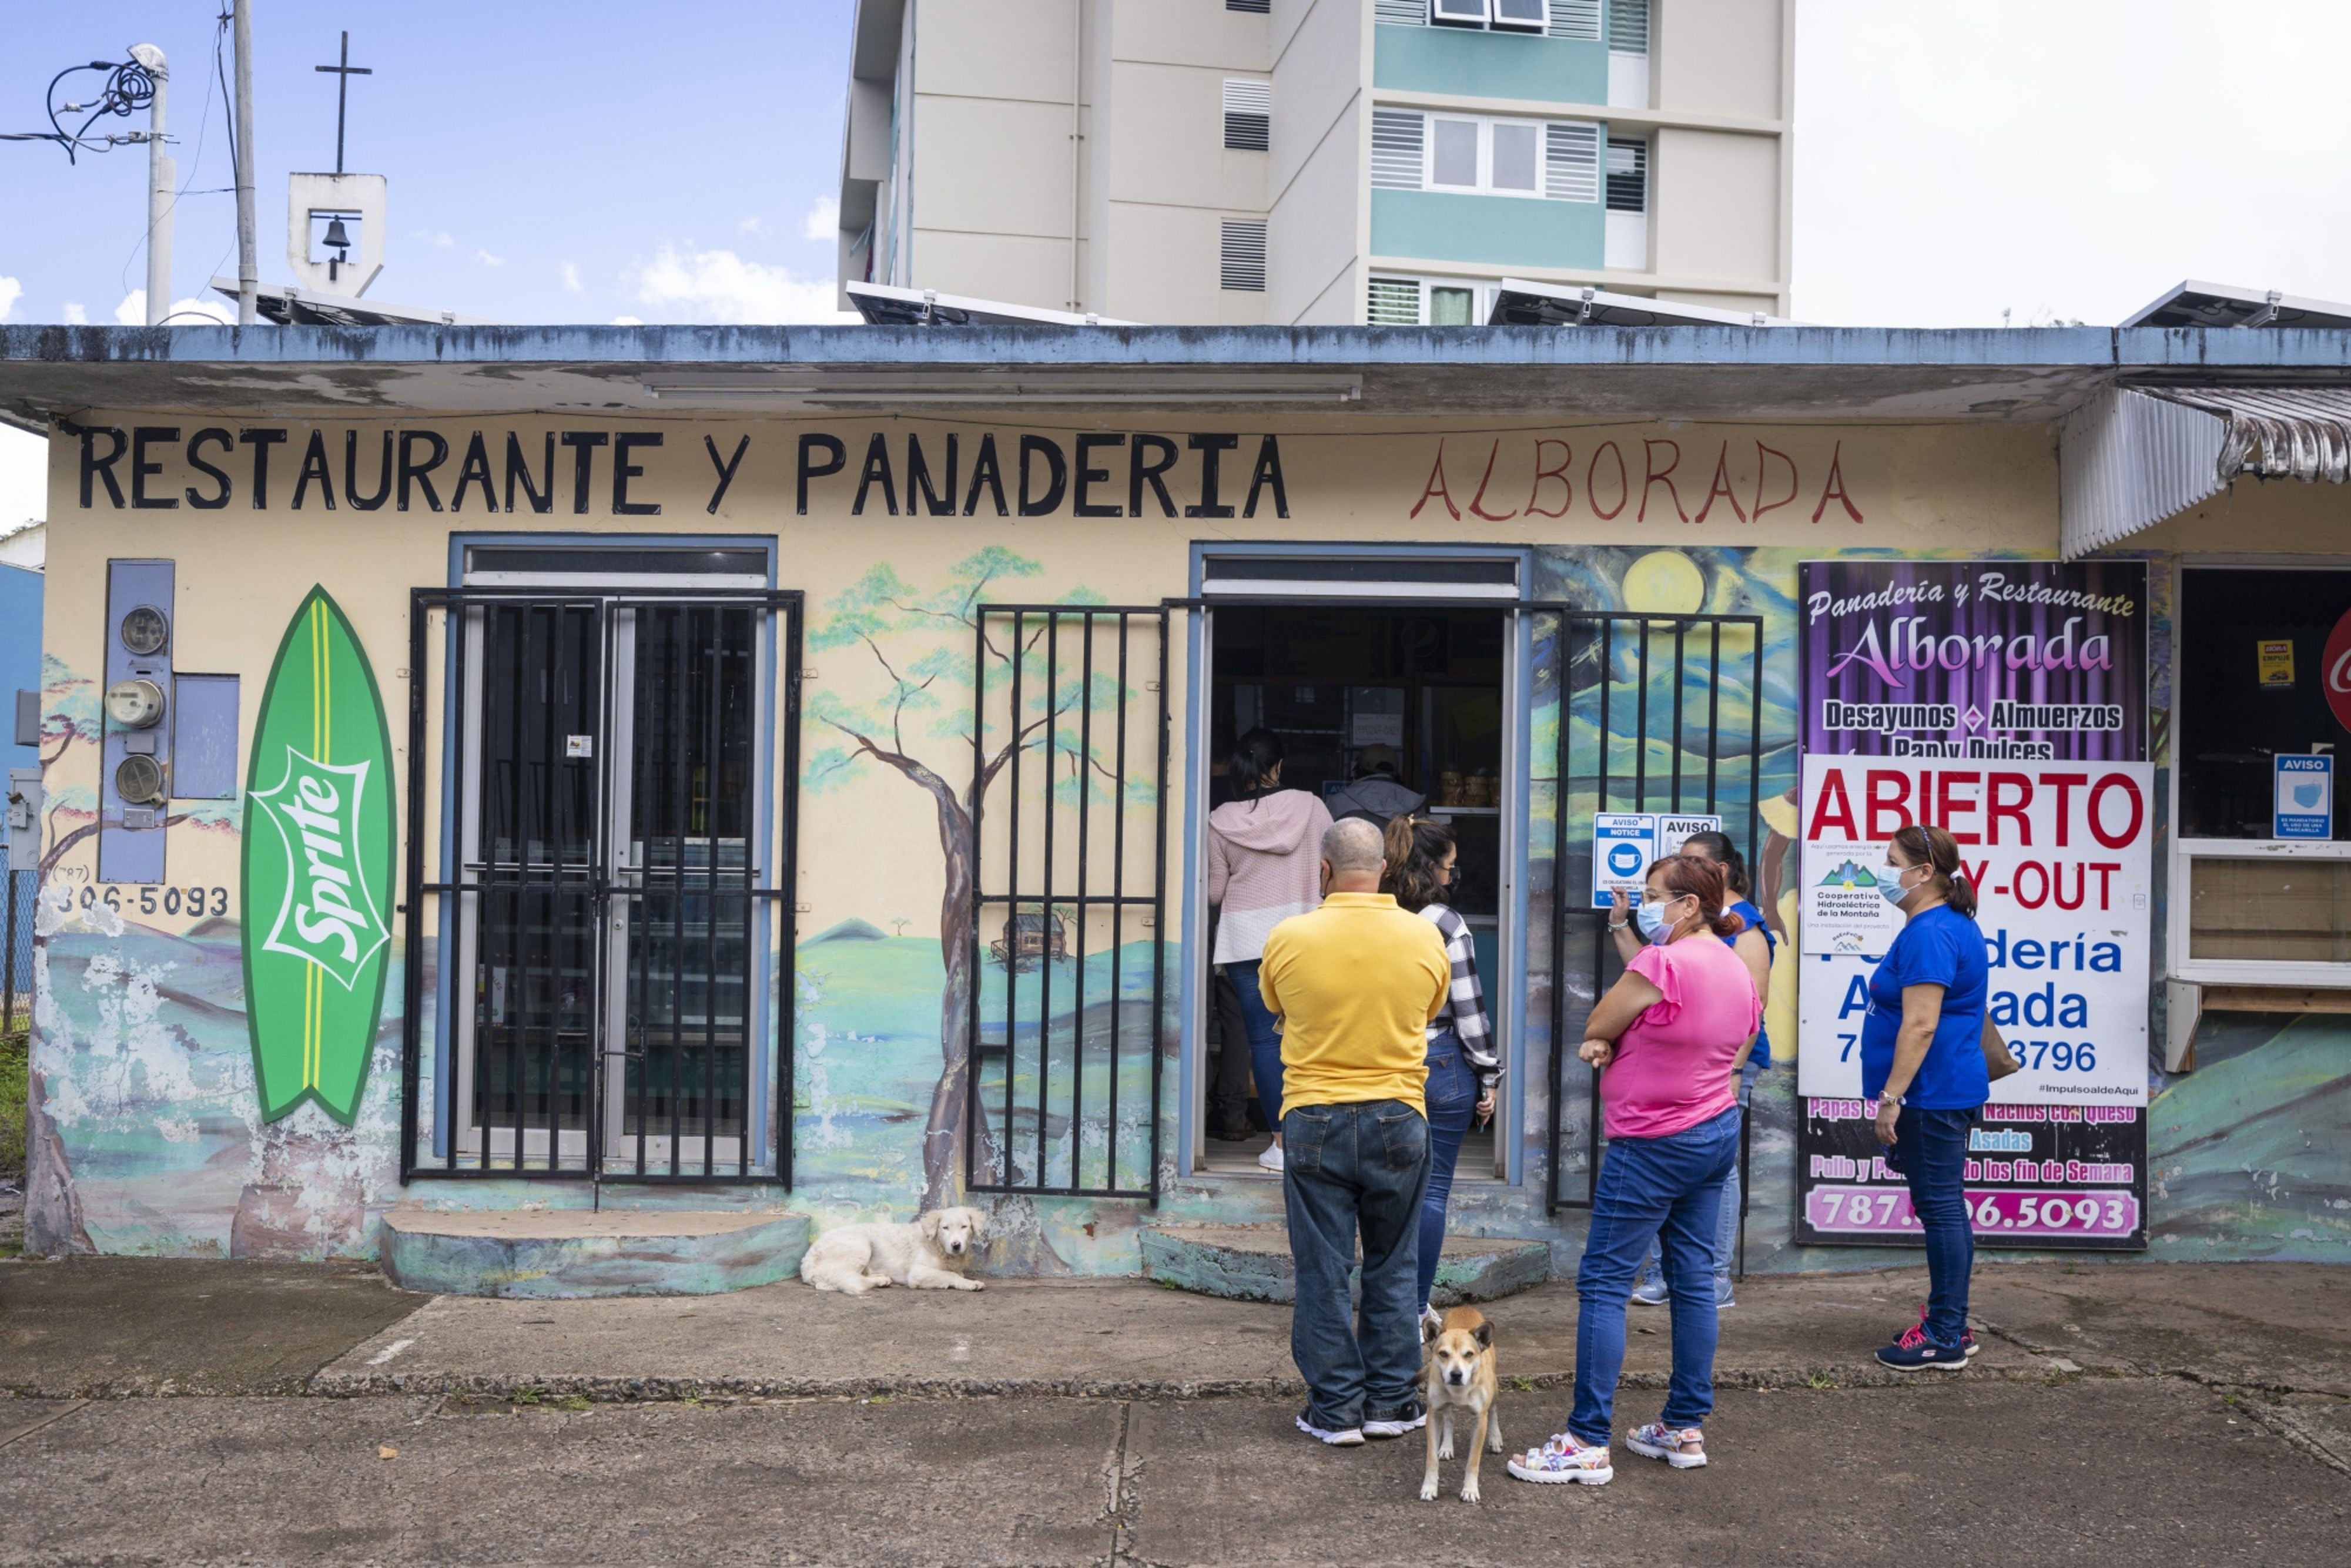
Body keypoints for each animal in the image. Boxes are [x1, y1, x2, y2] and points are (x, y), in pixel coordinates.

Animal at [795, 1213, 987, 1298]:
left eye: (964, 1227)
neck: (937, 1245)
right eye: (945, 1228)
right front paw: (970, 1284)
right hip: (861, 1245)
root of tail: (806, 1264)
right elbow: (950, 1275)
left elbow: (956, 1273)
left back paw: (881, 1279)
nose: (956, 1245)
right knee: (850, 1279)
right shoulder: (918, 1274)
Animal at [1411, 1307, 1505, 1505]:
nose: (1456, 1374)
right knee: (1449, 1418)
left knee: (1493, 1410)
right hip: (1444, 1406)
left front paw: (1470, 1490)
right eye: (1443, 1354)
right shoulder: (1433, 1414)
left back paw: (1495, 1438)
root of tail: (1465, 1307)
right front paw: (1429, 1488)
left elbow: (1473, 1461)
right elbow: (1431, 1459)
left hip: (1494, 1388)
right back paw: (1447, 1447)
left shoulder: (1480, 1420)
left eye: (1469, 1354)